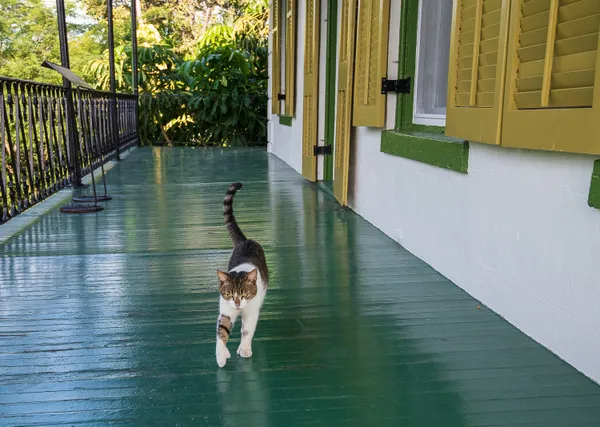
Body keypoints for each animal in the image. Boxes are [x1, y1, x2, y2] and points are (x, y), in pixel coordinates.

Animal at [217, 181, 268, 368]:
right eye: (230, 294)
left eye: (245, 294)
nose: (238, 304)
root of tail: (246, 240)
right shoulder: (225, 311)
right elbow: (221, 333)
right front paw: (221, 356)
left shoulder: (251, 312)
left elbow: (247, 330)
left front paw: (244, 348)